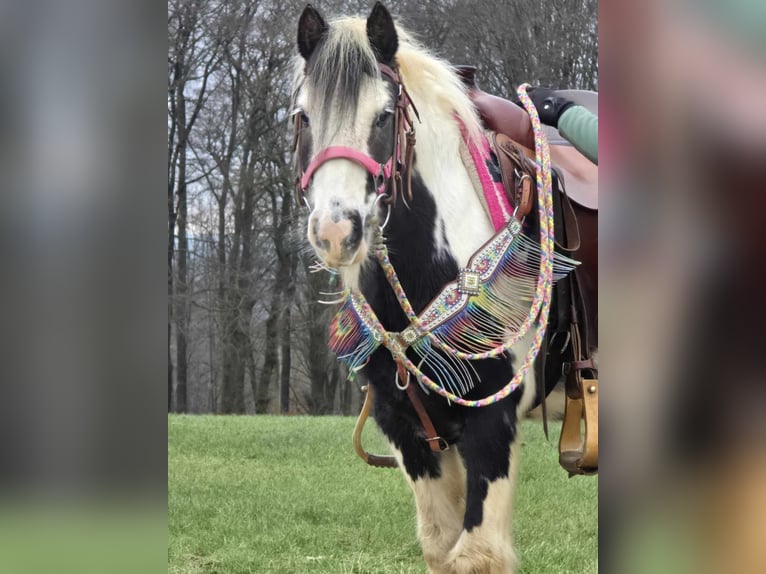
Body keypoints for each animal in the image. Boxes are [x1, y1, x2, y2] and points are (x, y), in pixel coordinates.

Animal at [292, 2, 592, 572]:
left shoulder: (492, 425)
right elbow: (439, 545)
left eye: (384, 116)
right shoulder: (409, 430)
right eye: (302, 117)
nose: (336, 231)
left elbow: (476, 555)